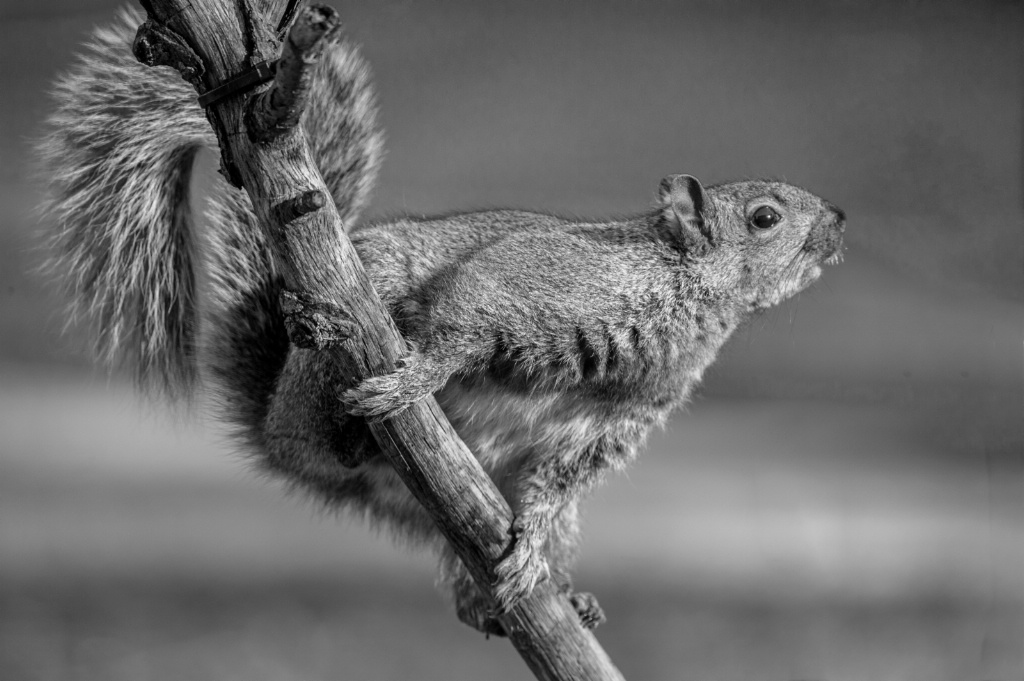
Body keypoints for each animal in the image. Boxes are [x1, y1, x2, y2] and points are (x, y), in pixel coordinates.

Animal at [37, 7, 839, 639]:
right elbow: (459, 329)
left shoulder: (618, 419)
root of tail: (269, 436)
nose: (838, 219)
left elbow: (556, 483)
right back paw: (340, 402)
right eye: (764, 217)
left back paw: (550, 598)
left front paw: (530, 543)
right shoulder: (524, 284)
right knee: (326, 399)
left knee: (466, 586)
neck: (678, 299)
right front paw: (413, 379)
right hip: (336, 352)